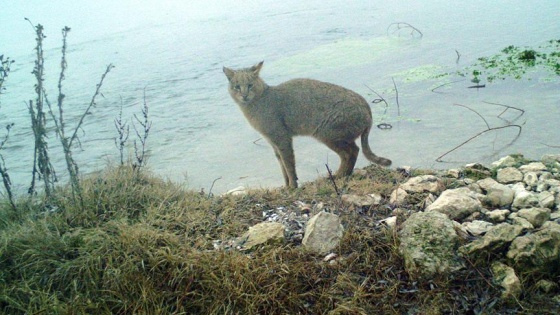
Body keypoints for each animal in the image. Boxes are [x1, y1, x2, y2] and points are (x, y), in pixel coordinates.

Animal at [221, 63, 392, 189]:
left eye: (250, 85)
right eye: (237, 86)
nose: (244, 95)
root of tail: (367, 107)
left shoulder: (282, 139)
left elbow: (289, 165)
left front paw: (292, 187)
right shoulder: (273, 143)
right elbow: (282, 167)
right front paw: (286, 186)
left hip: (327, 134)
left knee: (350, 153)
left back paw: (338, 176)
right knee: (353, 151)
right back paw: (343, 174)